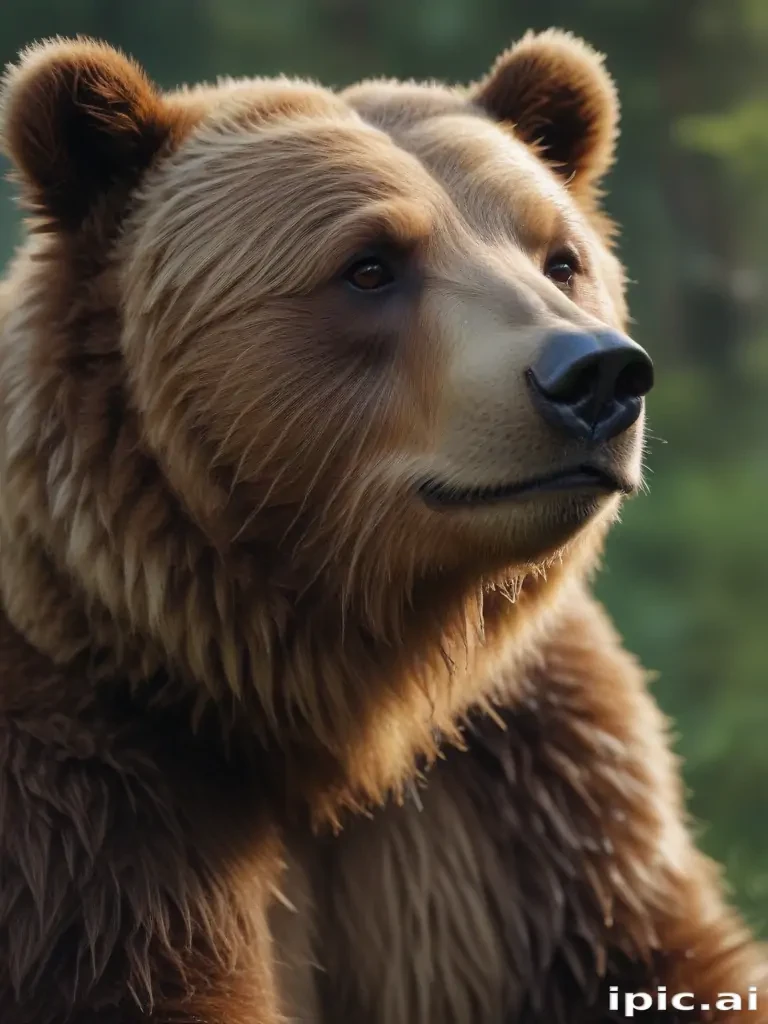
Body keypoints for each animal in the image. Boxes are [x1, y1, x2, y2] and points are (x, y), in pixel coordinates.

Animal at [0, 26, 764, 1024]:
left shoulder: (541, 807)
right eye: (369, 265)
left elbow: (667, 956)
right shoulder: (91, 809)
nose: (595, 375)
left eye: (560, 257)